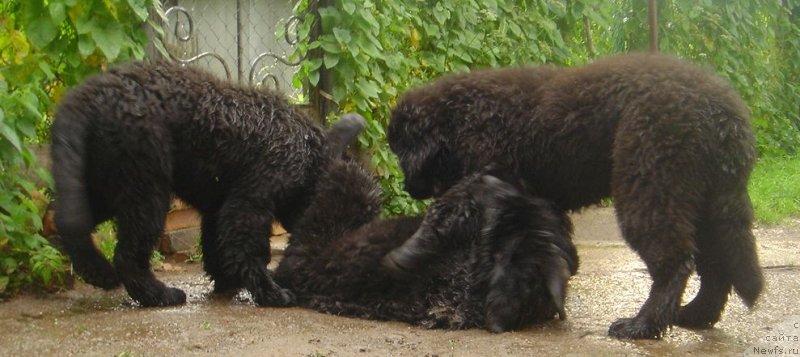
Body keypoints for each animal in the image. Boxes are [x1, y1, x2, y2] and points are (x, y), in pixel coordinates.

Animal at [50, 61, 362, 306]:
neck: (310, 156)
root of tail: (90, 94)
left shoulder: (219, 207)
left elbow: (217, 246)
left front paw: (227, 282)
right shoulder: (250, 201)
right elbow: (248, 249)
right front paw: (271, 293)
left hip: (108, 185)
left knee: (69, 221)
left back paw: (97, 272)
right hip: (146, 191)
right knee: (128, 254)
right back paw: (159, 295)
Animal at [384, 53, 764, 340]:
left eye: (401, 152)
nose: (407, 187)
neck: (463, 118)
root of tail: (726, 118)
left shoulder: (476, 182)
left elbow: (445, 213)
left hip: (652, 186)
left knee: (677, 263)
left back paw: (641, 325)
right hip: (707, 201)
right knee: (716, 266)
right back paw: (695, 315)